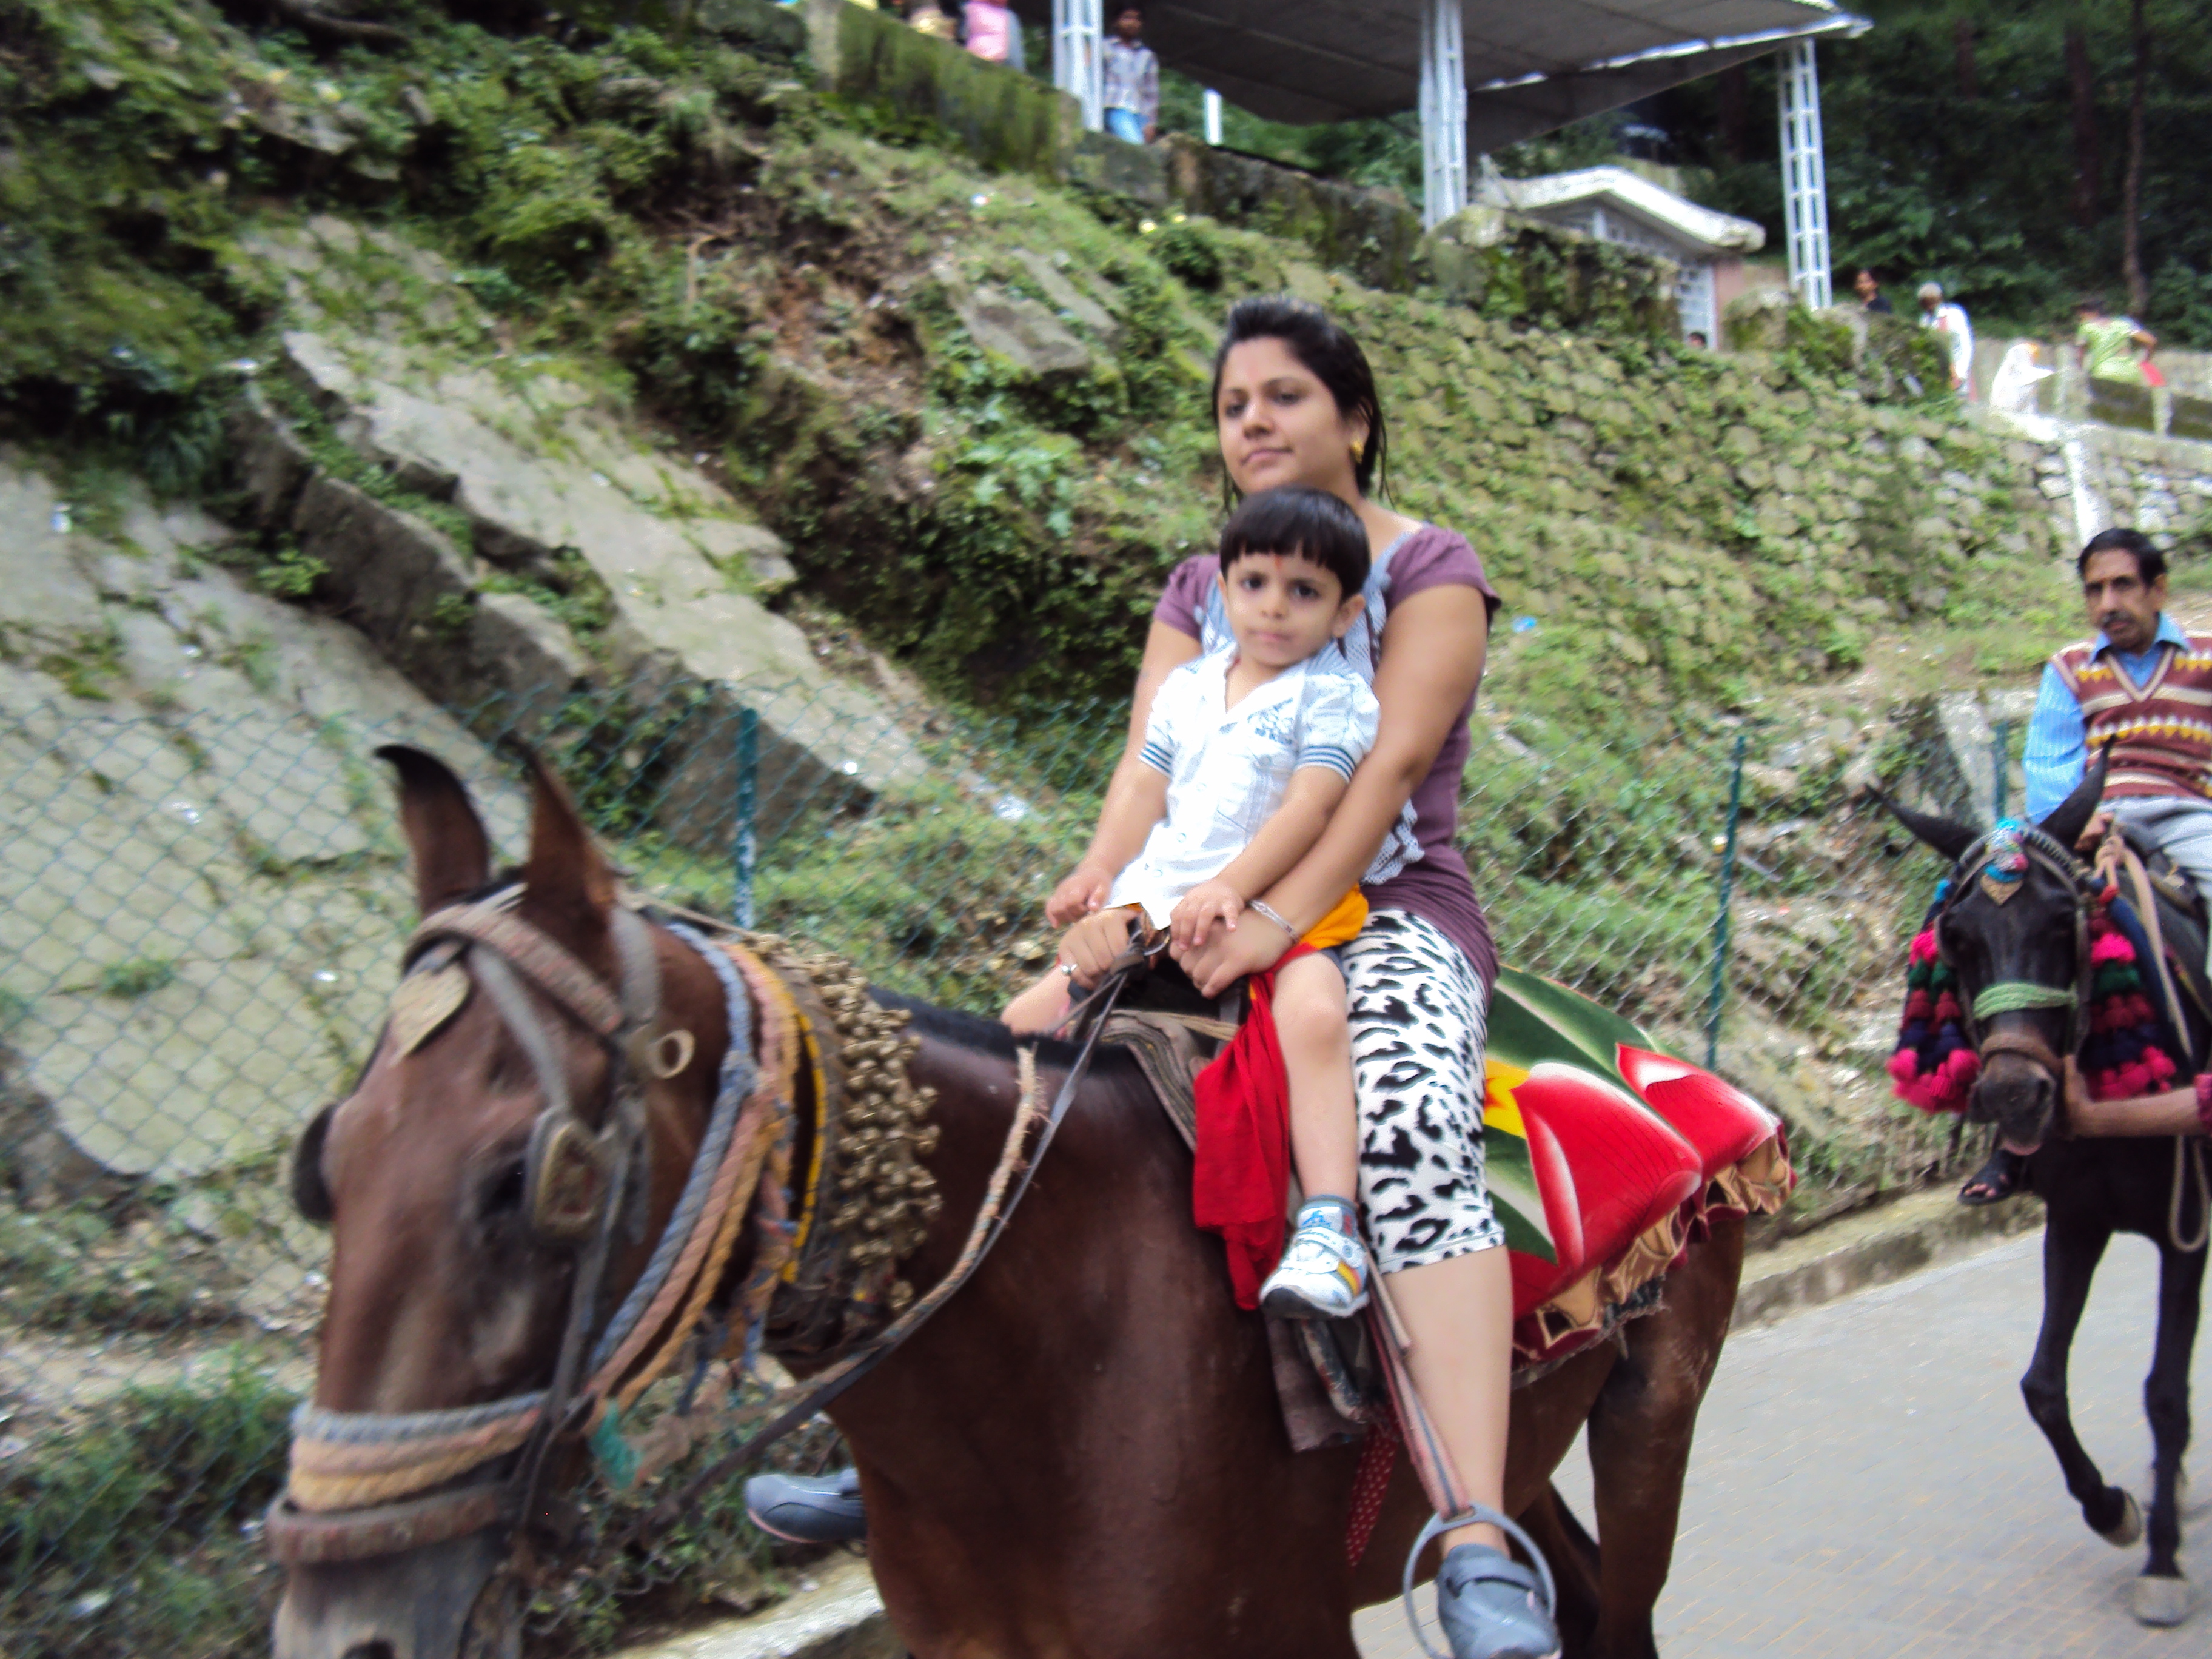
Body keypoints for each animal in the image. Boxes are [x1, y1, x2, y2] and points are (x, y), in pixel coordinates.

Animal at [272, 760, 1743, 1659]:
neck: (1043, 1364)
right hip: (1522, 1448)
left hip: (1655, 1405)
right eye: (321, 1166)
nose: (348, 1633)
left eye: (536, 1183)